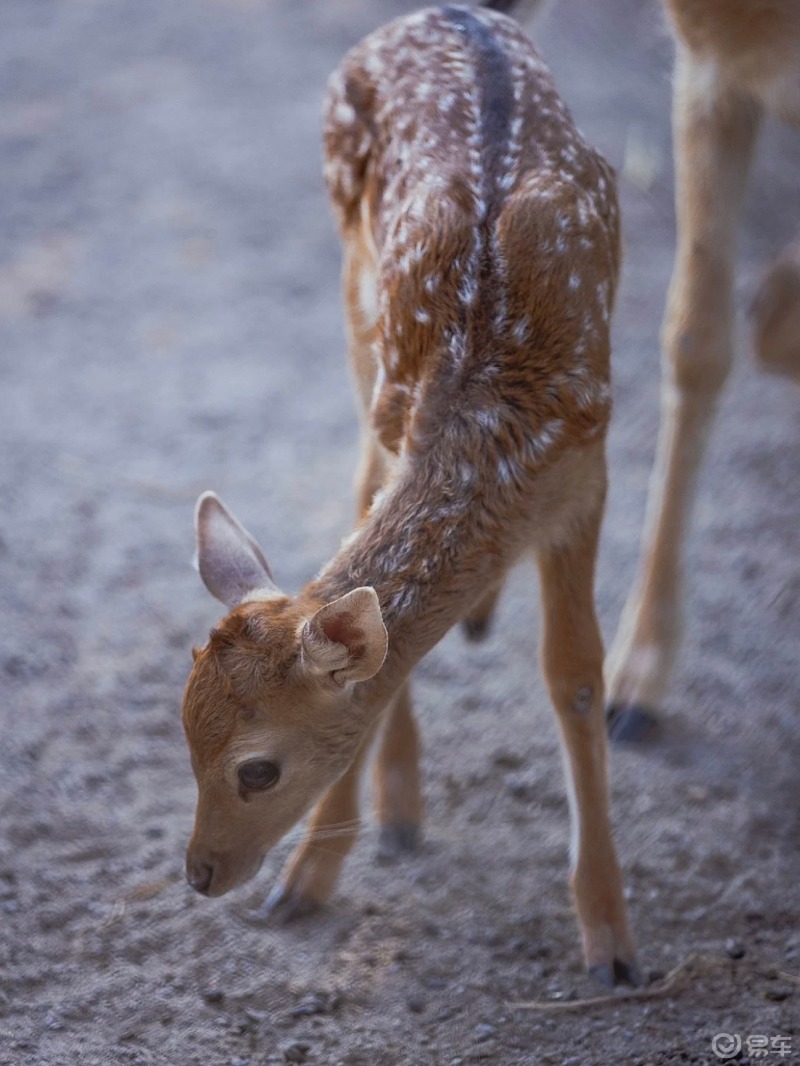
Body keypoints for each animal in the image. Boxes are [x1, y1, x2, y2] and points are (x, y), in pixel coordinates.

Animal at [181, 2, 640, 980]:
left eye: (257, 768)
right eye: (182, 731)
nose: (199, 874)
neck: (496, 426)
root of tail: (455, 11)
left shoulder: (589, 467)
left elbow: (576, 677)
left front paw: (613, 941)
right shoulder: (405, 415)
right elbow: (387, 672)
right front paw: (307, 882)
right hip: (356, 295)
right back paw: (395, 809)